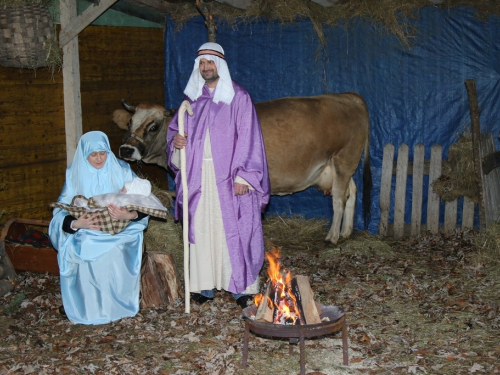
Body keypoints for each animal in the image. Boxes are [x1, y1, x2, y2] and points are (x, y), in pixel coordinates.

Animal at [114, 94, 372, 245]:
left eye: (153, 126)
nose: (126, 149)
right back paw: (347, 231)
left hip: (344, 157)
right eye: (130, 122)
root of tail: (348, 96)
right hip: (339, 165)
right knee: (352, 191)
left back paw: (333, 236)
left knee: (338, 198)